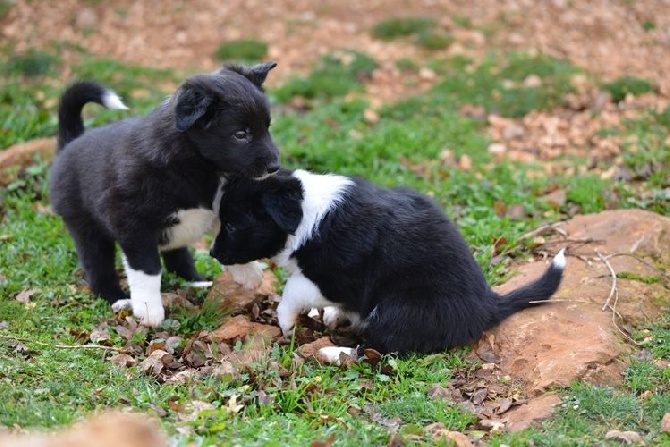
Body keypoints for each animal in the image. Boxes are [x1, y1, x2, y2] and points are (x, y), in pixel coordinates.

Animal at [50, 62, 280, 326]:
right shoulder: (133, 224)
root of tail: (70, 144)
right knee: (98, 268)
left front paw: (248, 271)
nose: (275, 166)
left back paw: (196, 281)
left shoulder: (219, 207)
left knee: (178, 255)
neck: (199, 164)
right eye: (240, 134)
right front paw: (149, 310)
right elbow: (147, 268)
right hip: (87, 228)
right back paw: (118, 298)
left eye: (267, 127)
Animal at [211, 169, 568, 356]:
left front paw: (285, 322)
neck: (304, 213)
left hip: (397, 310)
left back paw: (333, 352)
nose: (213, 254)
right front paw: (329, 316)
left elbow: (293, 289)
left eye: (233, 225)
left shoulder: (335, 278)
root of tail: (488, 305)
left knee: (377, 349)